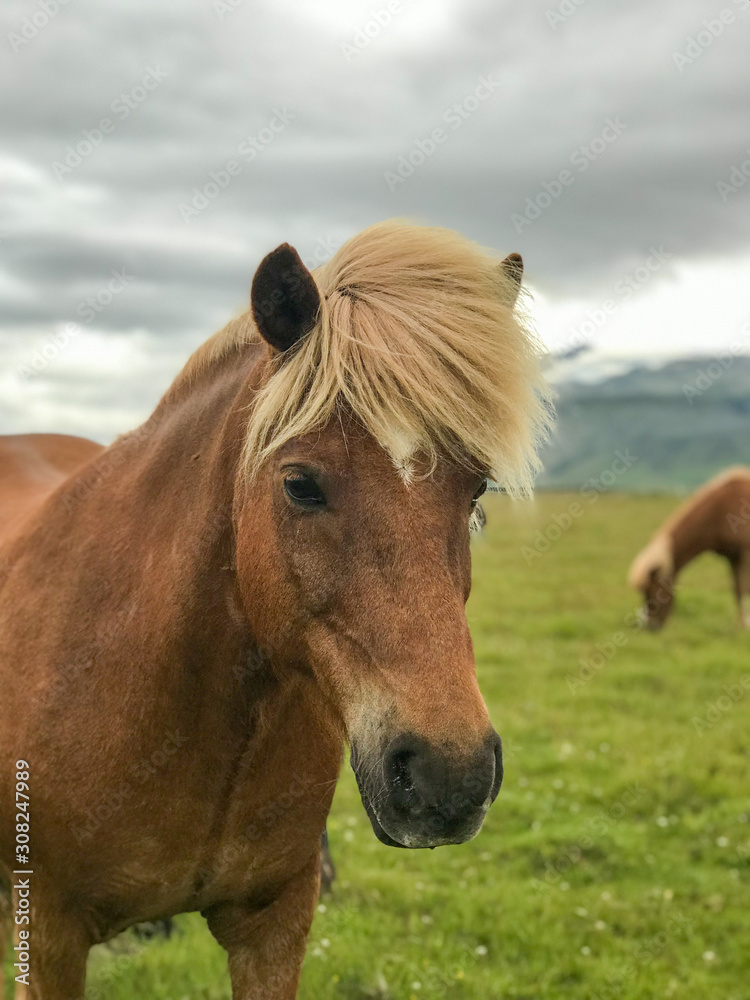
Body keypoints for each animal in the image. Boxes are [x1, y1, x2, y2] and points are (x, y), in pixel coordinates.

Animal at [628, 466, 750, 629]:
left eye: (650, 590)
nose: (651, 626)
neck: (721, 510)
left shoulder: (745, 554)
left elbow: (745, 588)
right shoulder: (733, 558)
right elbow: (737, 590)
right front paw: (742, 624)